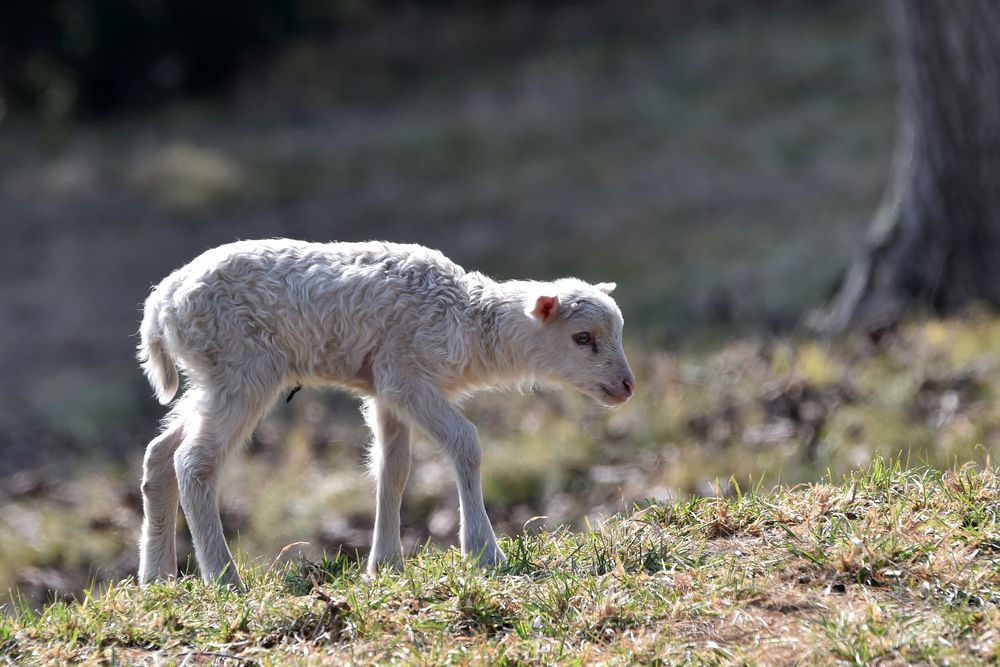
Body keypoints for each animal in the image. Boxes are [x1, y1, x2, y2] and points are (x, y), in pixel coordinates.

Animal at [135, 239, 632, 584]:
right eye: (583, 338)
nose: (628, 386)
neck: (470, 324)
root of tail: (160, 305)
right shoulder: (406, 376)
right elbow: (466, 442)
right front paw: (483, 552)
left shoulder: (383, 390)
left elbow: (393, 470)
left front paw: (386, 564)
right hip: (243, 368)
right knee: (193, 462)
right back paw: (224, 579)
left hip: (212, 379)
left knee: (160, 452)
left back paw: (157, 577)